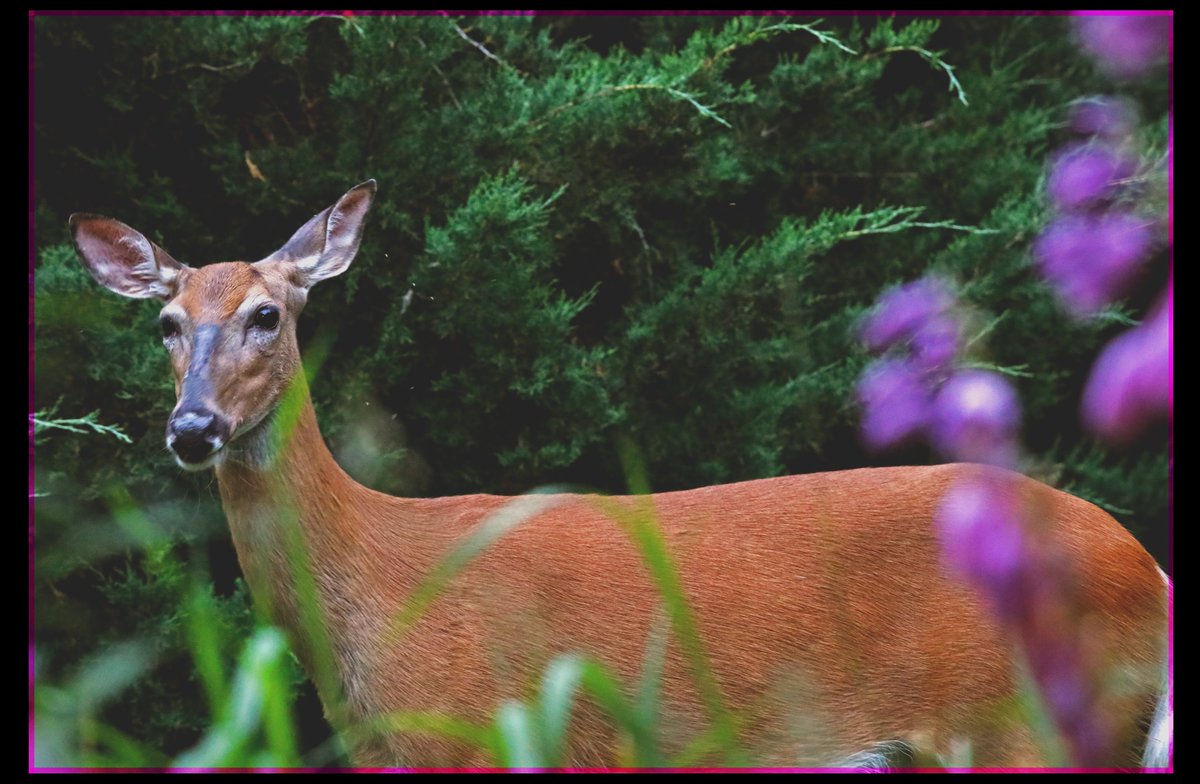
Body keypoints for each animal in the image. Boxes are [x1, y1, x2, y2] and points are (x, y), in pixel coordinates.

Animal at [69, 180, 1171, 770]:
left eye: (267, 313)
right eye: (167, 323)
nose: (193, 427)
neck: (380, 586)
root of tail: (1151, 570)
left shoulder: (478, 731)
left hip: (1036, 720)